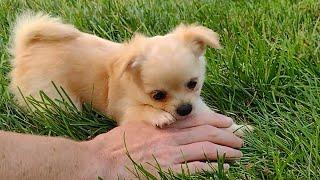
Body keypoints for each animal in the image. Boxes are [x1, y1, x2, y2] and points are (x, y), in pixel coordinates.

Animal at [9, 13, 252, 135]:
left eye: (193, 83)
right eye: (158, 95)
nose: (184, 110)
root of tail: (26, 49)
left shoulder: (197, 104)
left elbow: (211, 116)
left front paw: (241, 129)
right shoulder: (125, 111)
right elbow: (140, 111)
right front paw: (159, 116)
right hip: (55, 98)